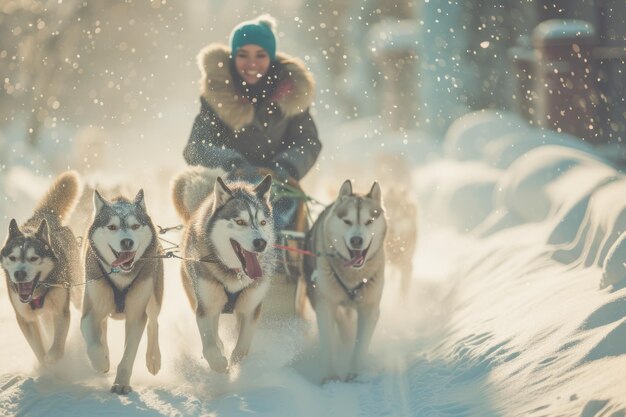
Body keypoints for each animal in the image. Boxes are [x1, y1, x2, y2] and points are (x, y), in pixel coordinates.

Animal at [0, 169, 82, 364]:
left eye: (33, 258)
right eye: (13, 257)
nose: (19, 274)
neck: (37, 292)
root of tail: (45, 215)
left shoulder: (60, 310)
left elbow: (56, 349)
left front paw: (53, 360)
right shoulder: (26, 319)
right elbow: (39, 350)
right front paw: (44, 365)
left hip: (75, 291)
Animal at [80, 188, 162, 394]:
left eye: (135, 225)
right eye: (111, 227)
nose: (127, 242)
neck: (121, 277)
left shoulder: (136, 315)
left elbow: (128, 354)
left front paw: (122, 383)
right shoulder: (89, 311)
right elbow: (93, 343)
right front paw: (101, 361)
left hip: (154, 296)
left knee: (153, 322)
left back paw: (153, 359)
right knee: (102, 326)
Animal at [173, 167, 276, 372]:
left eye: (262, 222)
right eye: (240, 222)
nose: (261, 243)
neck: (235, 273)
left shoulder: (251, 309)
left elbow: (241, 349)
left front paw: (237, 363)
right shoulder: (206, 308)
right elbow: (210, 346)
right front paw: (219, 363)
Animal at [302, 179, 386, 380]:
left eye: (369, 221)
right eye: (347, 221)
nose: (356, 240)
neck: (353, 275)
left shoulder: (369, 308)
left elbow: (360, 345)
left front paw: (354, 372)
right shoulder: (325, 304)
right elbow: (328, 342)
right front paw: (330, 377)